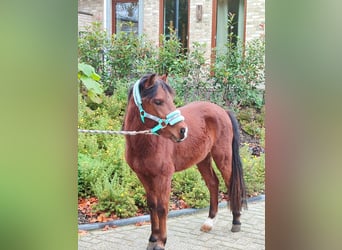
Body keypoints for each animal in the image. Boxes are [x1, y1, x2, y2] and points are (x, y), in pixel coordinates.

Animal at [123, 73, 246, 250]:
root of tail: (222, 110)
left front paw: (161, 241)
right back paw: (209, 222)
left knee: (231, 184)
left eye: (172, 99)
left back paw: (236, 221)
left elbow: (162, 208)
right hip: (203, 160)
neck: (146, 144)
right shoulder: (144, 176)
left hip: (223, 157)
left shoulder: (164, 177)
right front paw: (153, 238)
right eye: (158, 101)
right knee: (213, 183)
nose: (182, 131)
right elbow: (152, 205)